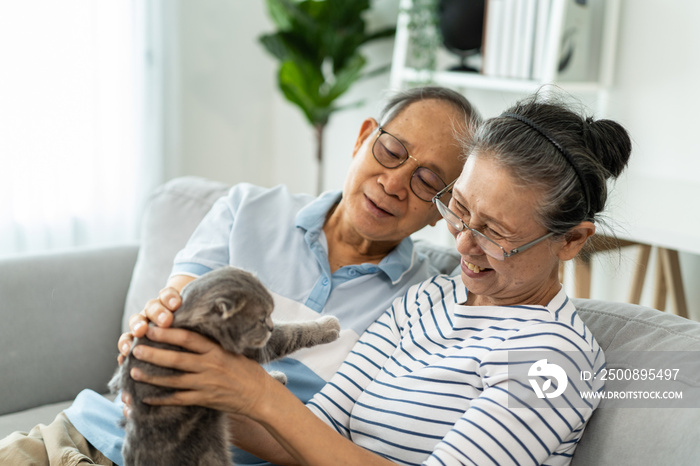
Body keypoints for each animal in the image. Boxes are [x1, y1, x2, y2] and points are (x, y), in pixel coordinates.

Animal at [109, 266, 342, 466]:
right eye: (261, 318)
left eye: (271, 314)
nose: (269, 325)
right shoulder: (254, 346)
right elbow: (291, 333)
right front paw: (326, 326)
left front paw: (277, 377)